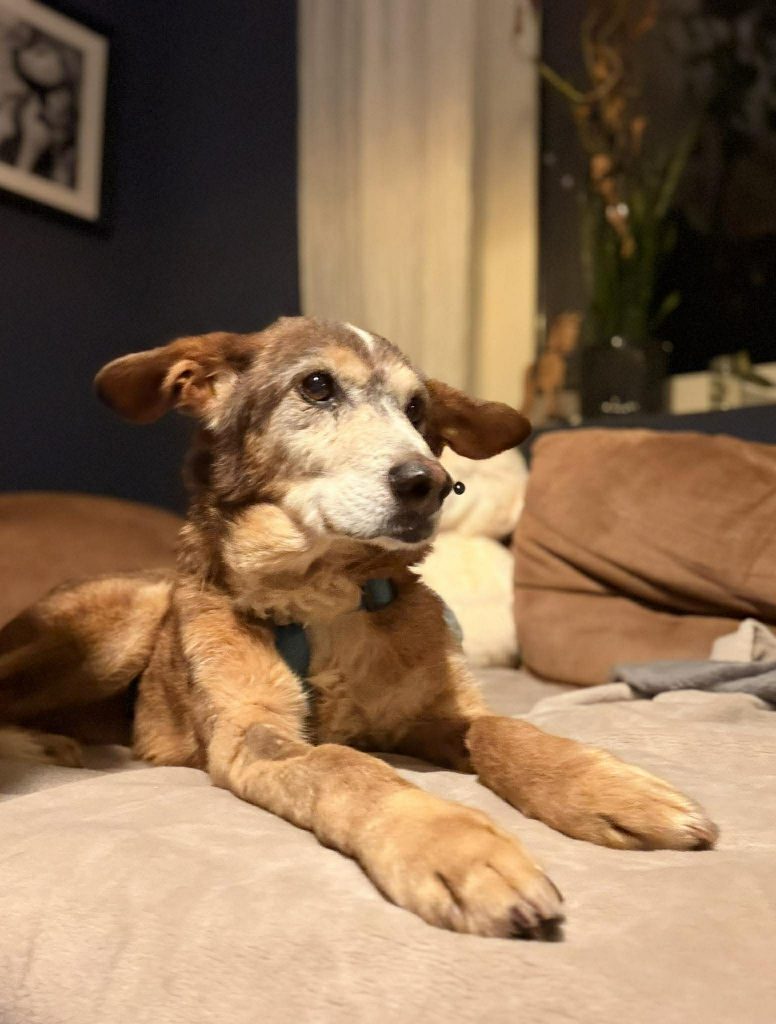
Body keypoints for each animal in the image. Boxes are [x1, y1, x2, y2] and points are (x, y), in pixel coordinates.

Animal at [0, 316, 718, 940]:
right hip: (133, 614)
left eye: (418, 410)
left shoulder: (430, 714)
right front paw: (456, 848)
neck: (324, 598)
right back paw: (44, 745)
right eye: (317, 385)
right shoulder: (252, 737)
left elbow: (504, 729)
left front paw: (611, 788)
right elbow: (345, 767)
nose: (433, 483)